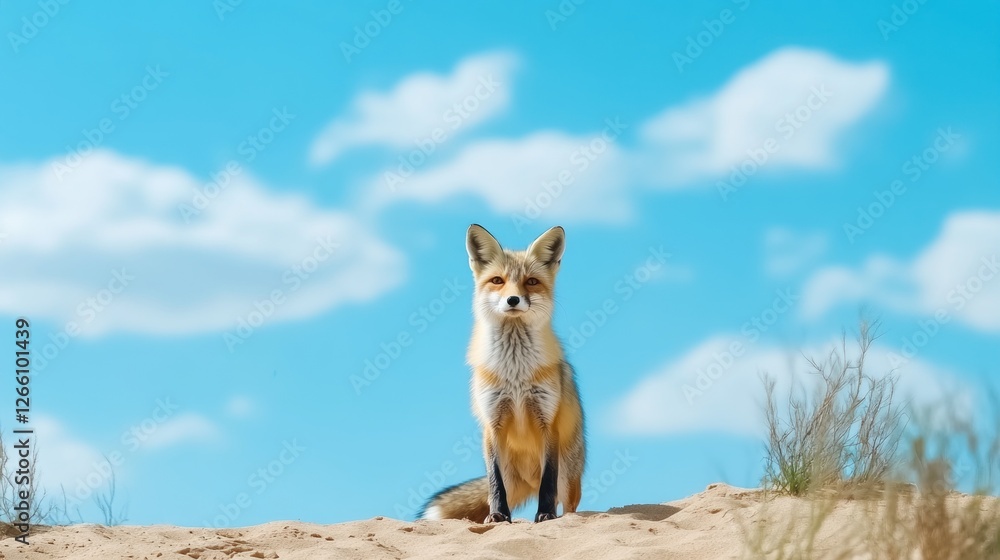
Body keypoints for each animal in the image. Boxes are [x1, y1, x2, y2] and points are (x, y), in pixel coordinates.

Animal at [419, 224, 586, 524]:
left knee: (567, 504)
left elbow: (548, 482)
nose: (513, 299)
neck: (515, 373)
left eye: (531, 282)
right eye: (497, 280)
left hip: (569, 476)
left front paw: (544, 514)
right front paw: (498, 515)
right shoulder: (492, 423)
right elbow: (495, 482)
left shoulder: (548, 422)